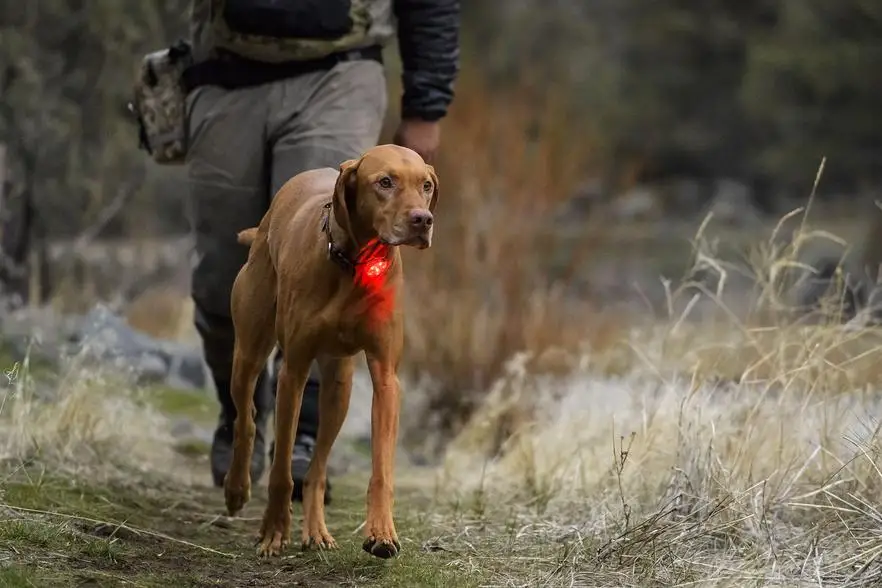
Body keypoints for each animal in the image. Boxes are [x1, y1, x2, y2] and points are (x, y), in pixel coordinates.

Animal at [222, 144, 438, 560]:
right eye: (385, 182)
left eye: (426, 185)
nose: (423, 220)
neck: (354, 262)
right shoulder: (293, 371)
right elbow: (280, 470)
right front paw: (273, 531)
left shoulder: (386, 378)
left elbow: (381, 470)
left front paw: (382, 533)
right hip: (248, 353)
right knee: (247, 418)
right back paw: (236, 488)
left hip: (339, 386)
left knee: (318, 465)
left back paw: (316, 530)